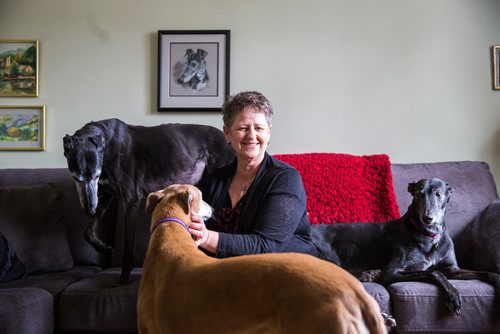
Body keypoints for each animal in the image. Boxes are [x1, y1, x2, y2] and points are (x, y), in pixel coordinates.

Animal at [312, 177, 500, 316]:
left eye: (438, 194)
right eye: (418, 194)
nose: (427, 218)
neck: (429, 236)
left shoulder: (452, 269)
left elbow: (487, 272)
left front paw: (497, 279)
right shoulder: (393, 272)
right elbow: (434, 272)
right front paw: (453, 295)